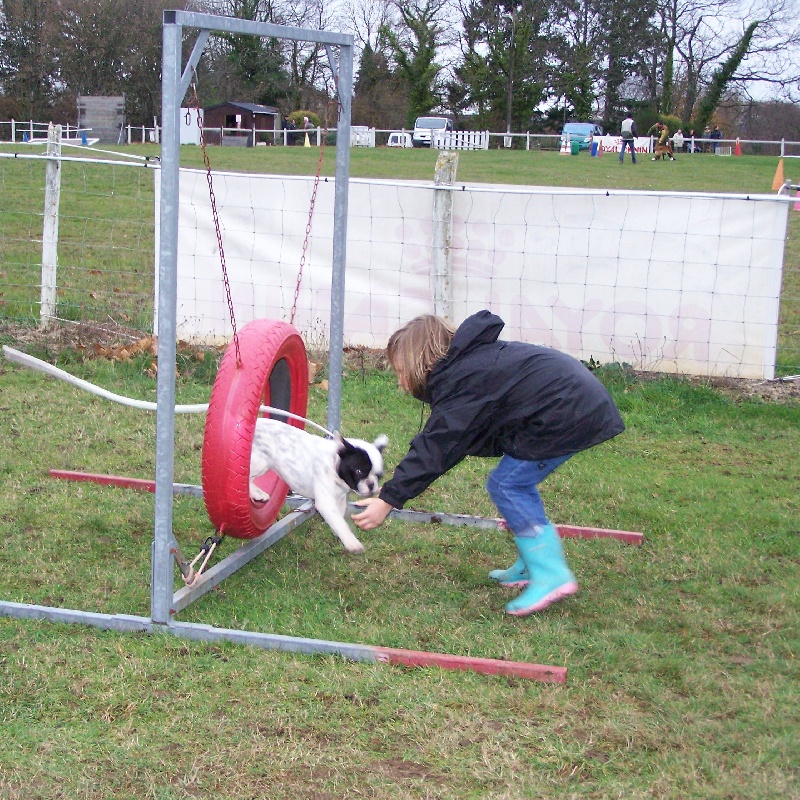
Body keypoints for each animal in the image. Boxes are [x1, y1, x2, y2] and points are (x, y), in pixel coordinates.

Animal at [248, 422, 390, 552]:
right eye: (359, 471)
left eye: (379, 475)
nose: (371, 485)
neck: (334, 462)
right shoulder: (326, 503)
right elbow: (339, 522)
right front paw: (351, 542)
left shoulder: (340, 498)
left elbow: (339, 517)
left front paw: (337, 531)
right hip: (260, 462)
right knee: (247, 476)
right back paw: (256, 493)